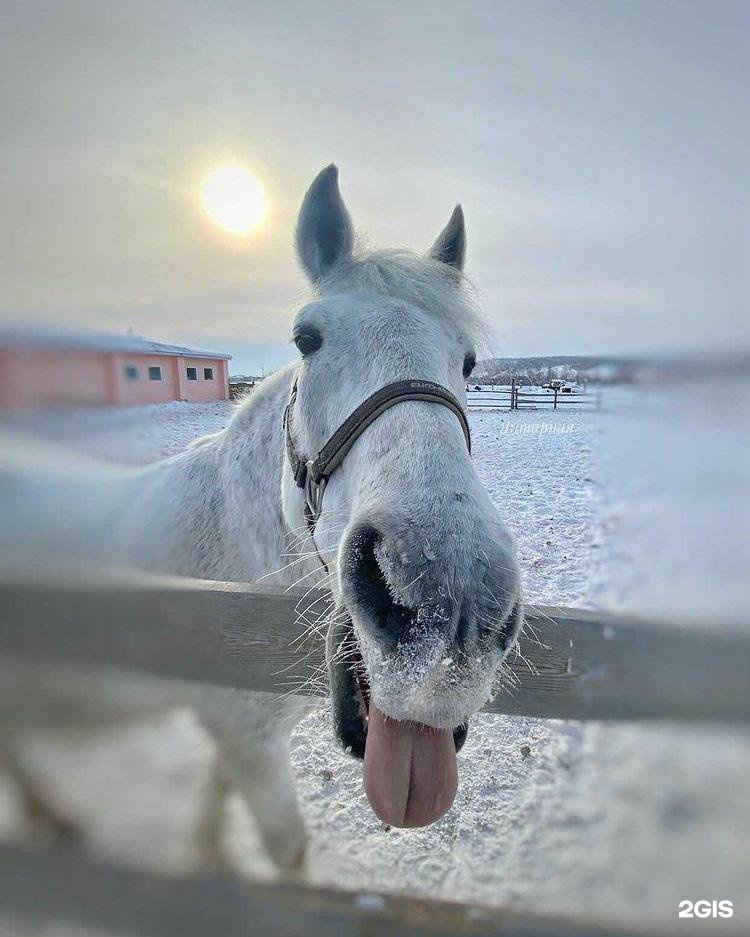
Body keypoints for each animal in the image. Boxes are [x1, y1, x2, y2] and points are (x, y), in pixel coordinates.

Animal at [1, 165, 524, 872]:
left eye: (467, 361)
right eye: (307, 338)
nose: (451, 604)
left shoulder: (238, 736)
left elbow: (215, 789)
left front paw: (205, 854)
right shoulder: (246, 737)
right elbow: (286, 849)